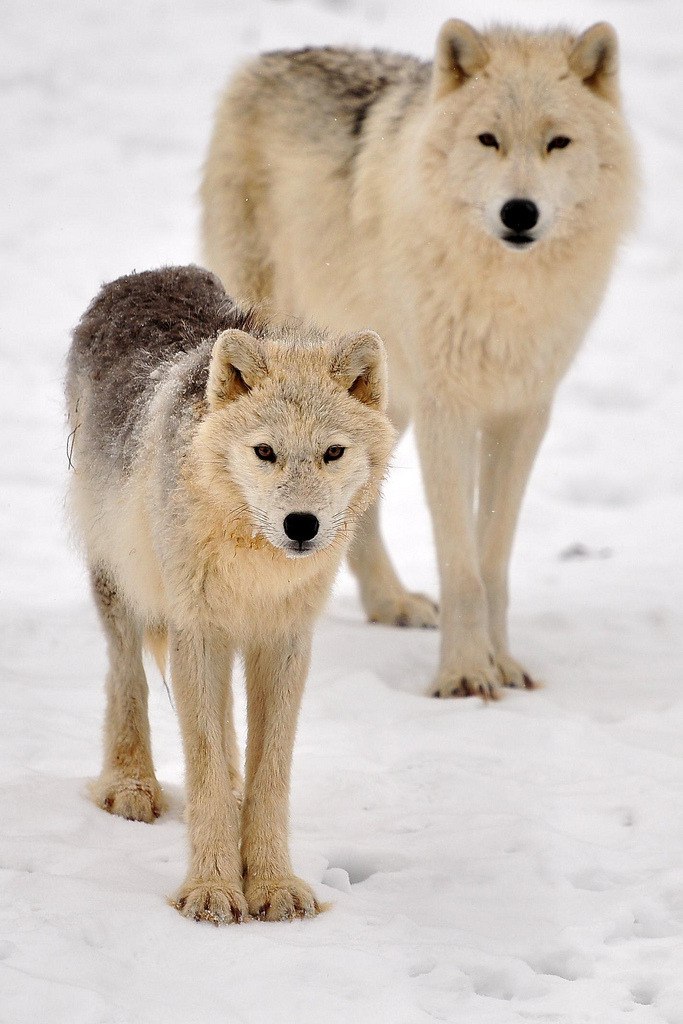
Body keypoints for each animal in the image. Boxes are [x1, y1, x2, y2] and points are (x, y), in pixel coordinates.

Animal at [66, 265, 393, 923]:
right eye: (265, 451)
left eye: (333, 452)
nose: (301, 525)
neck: (255, 565)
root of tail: (143, 275)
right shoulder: (198, 636)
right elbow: (207, 770)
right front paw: (213, 893)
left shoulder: (284, 643)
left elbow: (269, 775)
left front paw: (273, 886)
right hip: (123, 586)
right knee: (126, 678)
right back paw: (131, 784)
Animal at [201, 20, 638, 699]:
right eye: (487, 139)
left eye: (558, 142)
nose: (519, 212)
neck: (505, 293)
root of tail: (264, 61)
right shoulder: (447, 409)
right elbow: (461, 566)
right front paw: (464, 674)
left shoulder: (523, 413)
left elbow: (493, 562)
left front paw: (503, 665)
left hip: (380, 395)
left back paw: (390, 603)